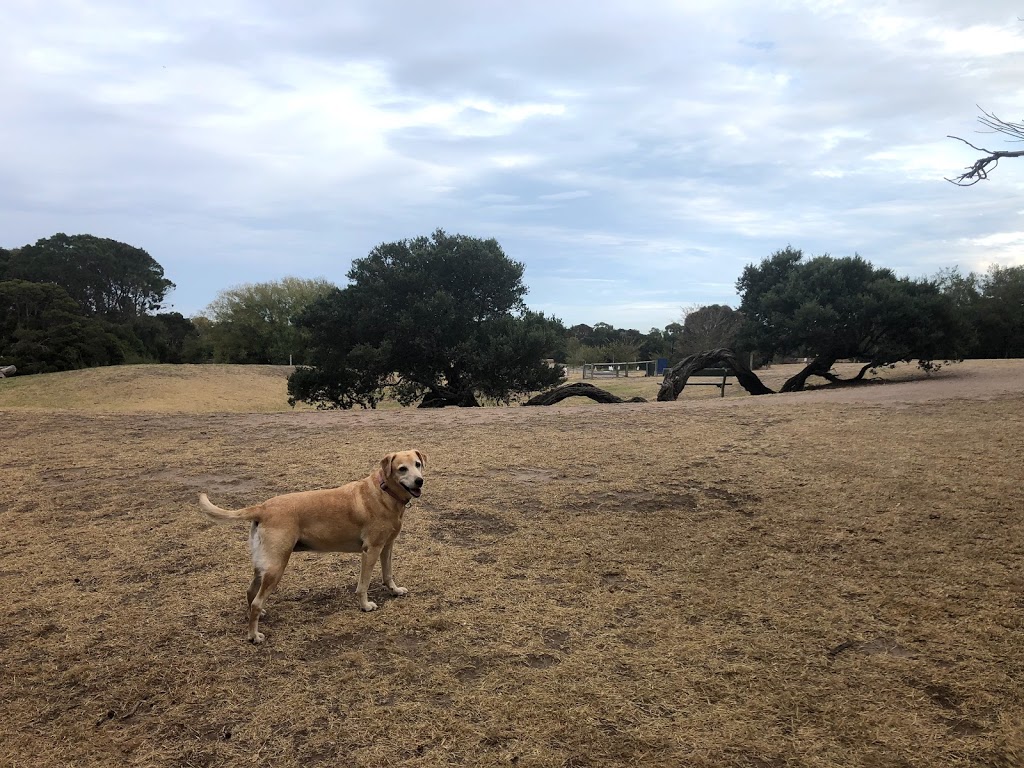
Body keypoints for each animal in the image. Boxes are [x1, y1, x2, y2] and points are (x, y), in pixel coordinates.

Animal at [201, 450, 425, 643]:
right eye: (402, 469)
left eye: (418, 464)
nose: (419, 480)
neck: (384, 491)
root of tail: (263, 508)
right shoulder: (371, 550)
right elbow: (363, 585)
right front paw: (365, 606)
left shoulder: (387, 546)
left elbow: (388, 574)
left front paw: (394, 591)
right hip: (276, 566)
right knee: (256, 601)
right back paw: (254, 636)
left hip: (263, 564)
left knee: (250, 592)